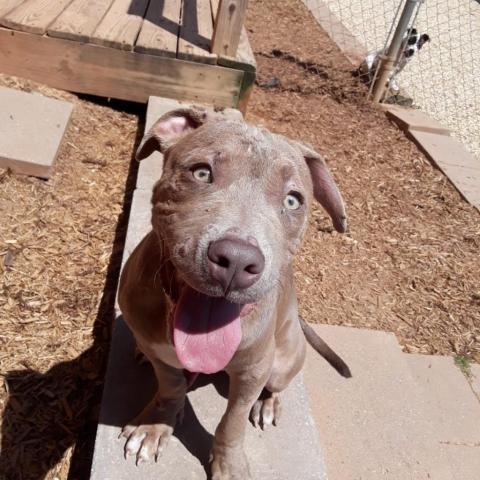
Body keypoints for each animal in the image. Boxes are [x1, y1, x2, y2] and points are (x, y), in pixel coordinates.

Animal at [118, 109, 350, 480]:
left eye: (292, 200)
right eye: (201, 172)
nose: (238, 260)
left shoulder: (252, 370)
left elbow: (233, 421)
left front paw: (228, 463)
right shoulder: (160, 353)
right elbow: (171, 386)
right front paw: (156, 425)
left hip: (281, 363)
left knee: (276, 385)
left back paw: (268, 403)